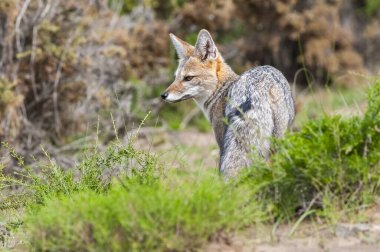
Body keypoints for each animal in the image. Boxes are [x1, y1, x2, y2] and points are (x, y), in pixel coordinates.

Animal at [160, 29, 294, 175]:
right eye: (176, 78)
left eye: (188, 78)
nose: (163, 95)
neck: (222, 90)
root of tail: (260, 85)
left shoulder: (220, 139)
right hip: (278, 142)